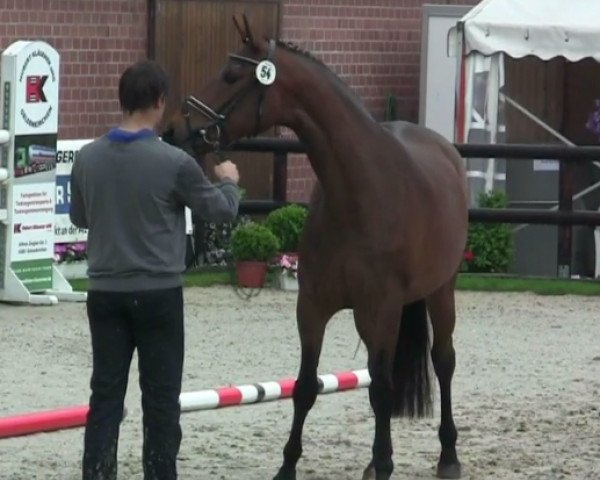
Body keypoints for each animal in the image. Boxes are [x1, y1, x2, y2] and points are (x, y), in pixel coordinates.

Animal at [163, 15, 468, 480]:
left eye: (231, 75)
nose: (175, 130)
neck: (359, 190)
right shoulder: (312, 306)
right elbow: (306, 387)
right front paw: (288, 466)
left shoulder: (379, 310)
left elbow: (382, 389)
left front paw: (385, 464)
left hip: (439, 290)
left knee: (443, 360)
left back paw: (448, 455)